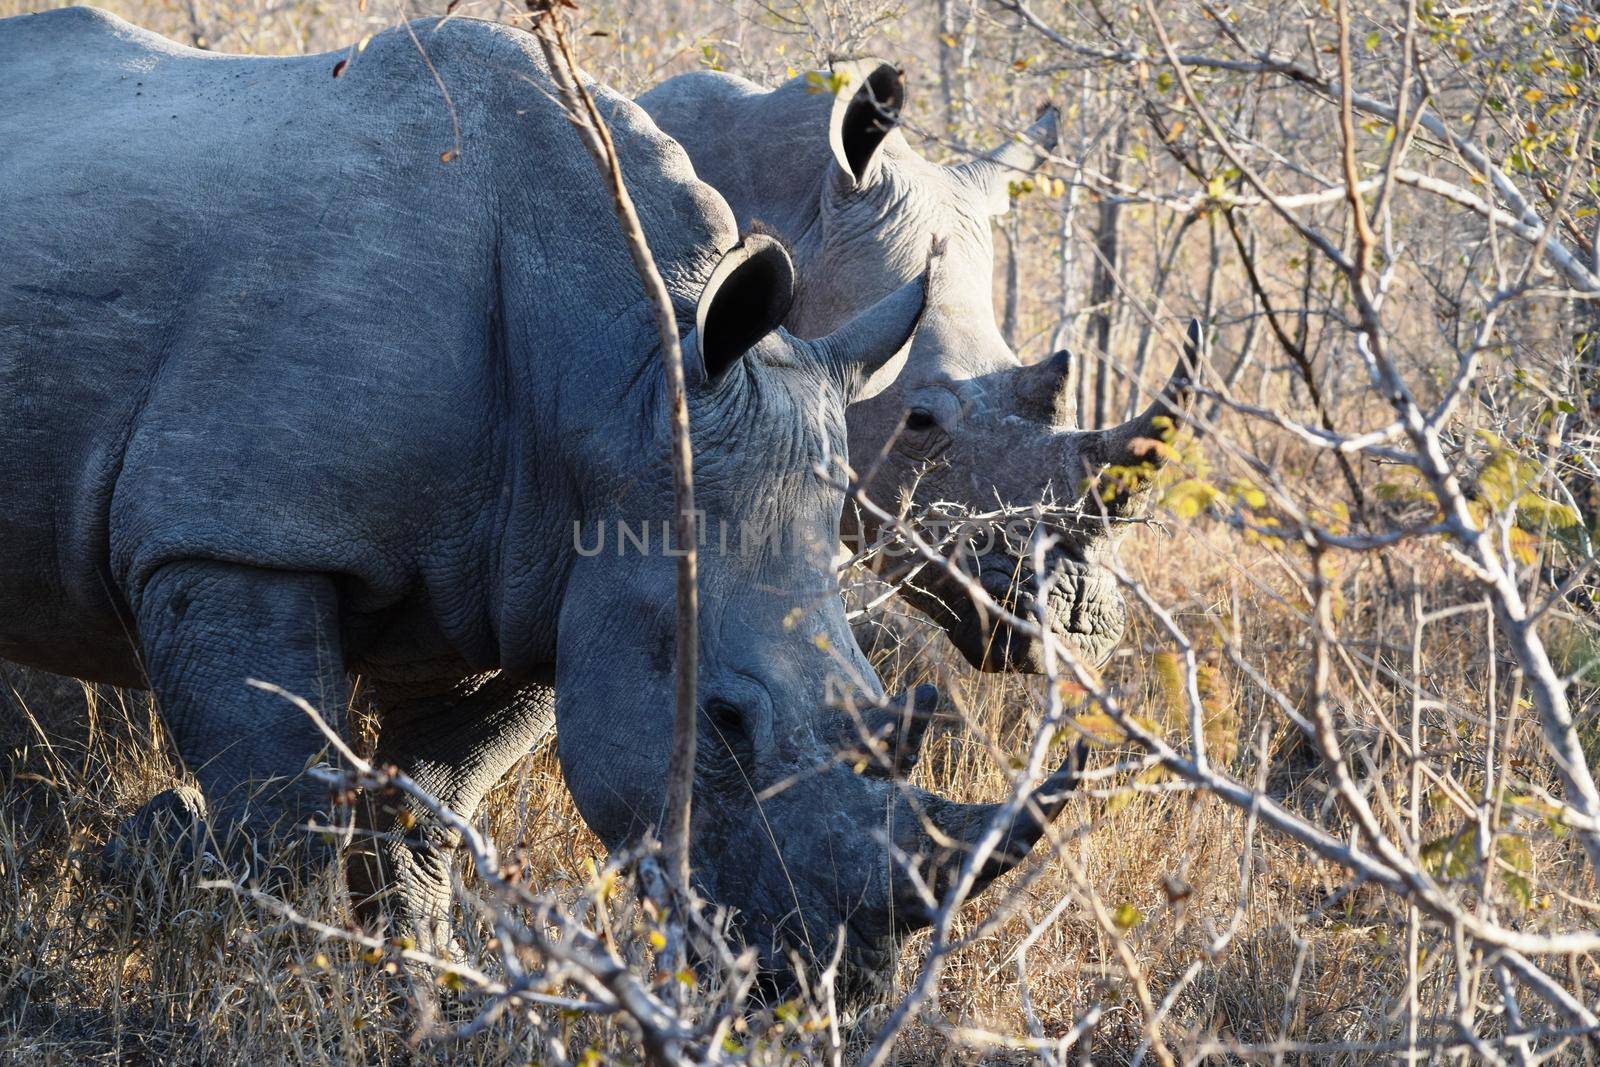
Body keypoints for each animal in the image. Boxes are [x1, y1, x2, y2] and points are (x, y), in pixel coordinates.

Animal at [0, 8, 1081, 991]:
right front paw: (284, 994)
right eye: (724, 719)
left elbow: (425, 810)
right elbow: (285, 822)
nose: (832, 981)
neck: (617, 382)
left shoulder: (546, 571)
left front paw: (418, 986)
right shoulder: (236, 536)